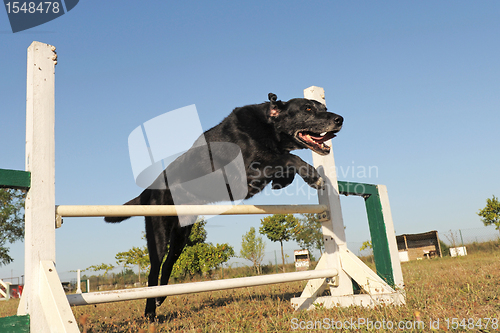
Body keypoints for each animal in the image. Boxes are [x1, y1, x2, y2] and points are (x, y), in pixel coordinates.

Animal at [103, 93, 342, 320]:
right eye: (307, 109)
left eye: (324, 107)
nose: (340, 119)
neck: (268, 127)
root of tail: (148, 190)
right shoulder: (245, 177)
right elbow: (287, 157)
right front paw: (312, 176)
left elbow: (284, 164)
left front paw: (283, 182)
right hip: (159, 230)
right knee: (155, 269)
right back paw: (150, 312)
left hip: (182, 233)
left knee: (169, 263)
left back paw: (161, 298)